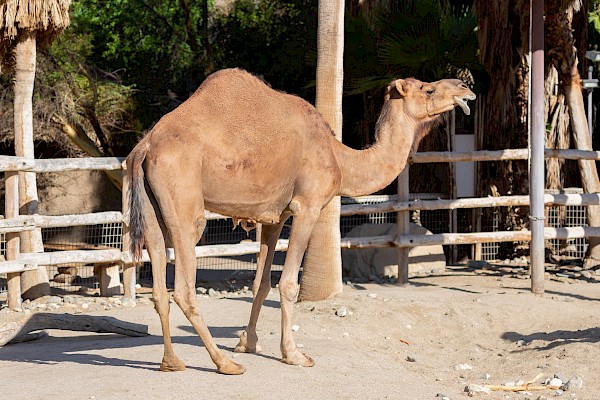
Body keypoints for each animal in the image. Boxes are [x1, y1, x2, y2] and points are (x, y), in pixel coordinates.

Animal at [124, 67, 476, 374]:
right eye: (427, 89)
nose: (464, 86)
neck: (340, 158)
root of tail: (145, 147)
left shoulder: (273, 216)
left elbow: (261, 283)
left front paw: (246, 343)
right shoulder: (308, 205)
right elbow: (289, 283)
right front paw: (293, 354)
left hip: (153, 209)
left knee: (159, 283)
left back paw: (172, 362)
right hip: (186, 205)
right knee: (184, 287)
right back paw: (225, 364)